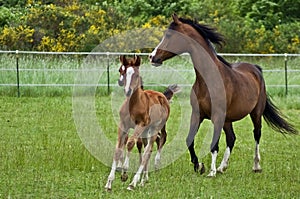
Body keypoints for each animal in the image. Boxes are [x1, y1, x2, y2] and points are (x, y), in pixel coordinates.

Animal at [105, 54, 179, 191]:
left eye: (136, 74)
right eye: (121, 71)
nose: (128, 91)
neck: (134, 104)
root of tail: (163, 97)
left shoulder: (140, 125)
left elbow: (130, 143)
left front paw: (124, 173)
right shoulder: (123, 125)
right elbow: (118, 149)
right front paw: (109, 183)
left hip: (154, 128)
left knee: (148, 151)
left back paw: (134, 183)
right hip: (146, 131)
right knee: (146, 148)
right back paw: (143, 180)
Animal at [149, 13, 296, 176]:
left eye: (169, 35)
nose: (152, 57)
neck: (207, 79)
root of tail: (256, 69)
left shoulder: (217, 116)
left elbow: (214, 145)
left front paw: (211, 172)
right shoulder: (197, 114)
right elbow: (189, 140)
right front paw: (199, 166)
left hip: (255, 113)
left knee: (256, 134)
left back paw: (255, 166)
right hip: (228, 119)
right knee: (232, 138)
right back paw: (222, 167)